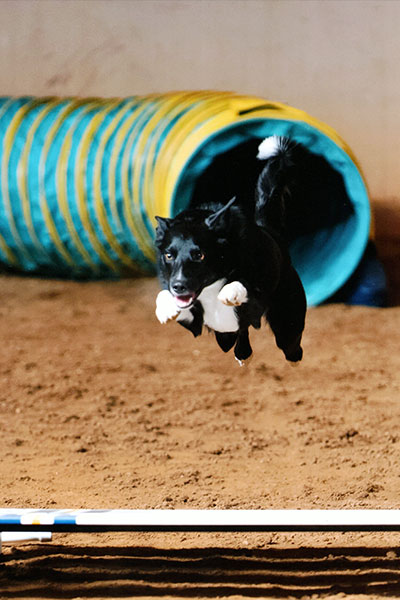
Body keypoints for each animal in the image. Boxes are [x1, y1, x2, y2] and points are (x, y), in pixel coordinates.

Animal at [153, 135, 306, 366]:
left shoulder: (254, 302)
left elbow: (242, 287)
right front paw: (166, 308)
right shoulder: (194, 322)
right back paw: (243, 354)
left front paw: (230, 292)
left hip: (288, 325)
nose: (178, 286)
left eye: (199, 255)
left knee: (291, 349)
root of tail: (269, 231)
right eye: (169, 255)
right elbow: (166, 298)